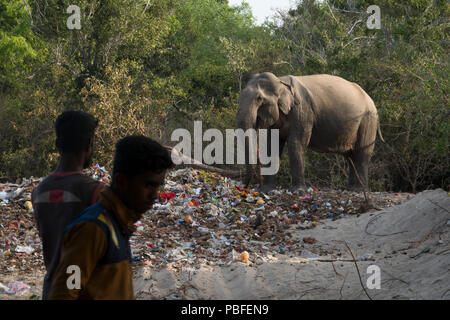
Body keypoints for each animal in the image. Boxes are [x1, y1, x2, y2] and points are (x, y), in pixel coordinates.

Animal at [236, 72, 384, 192]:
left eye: (259, 99)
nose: (245, 187)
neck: (281, 81)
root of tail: (371, 100)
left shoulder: (303, 111)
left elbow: (296, 143)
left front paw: (297, 191)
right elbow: (273, 145)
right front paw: (266, 190)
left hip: (368, 120)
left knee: (361, 153)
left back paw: (357, 190)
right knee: (350, 156)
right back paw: (350, 189)